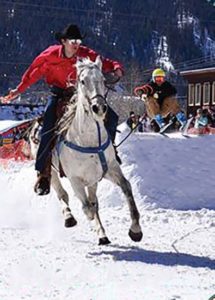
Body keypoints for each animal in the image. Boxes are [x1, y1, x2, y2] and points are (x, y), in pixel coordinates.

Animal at [29, 56, 142, 246]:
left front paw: (135, 230)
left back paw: (102, 234)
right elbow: (87, 207)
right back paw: (69, 218)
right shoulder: (76, 179)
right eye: (82, 81)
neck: (89, 140)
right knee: (63, 194)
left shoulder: (110, 169)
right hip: (52, 171)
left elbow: (126, 188)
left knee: (92, 200)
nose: (99, 108)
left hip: (93, 179)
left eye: (103, 79)